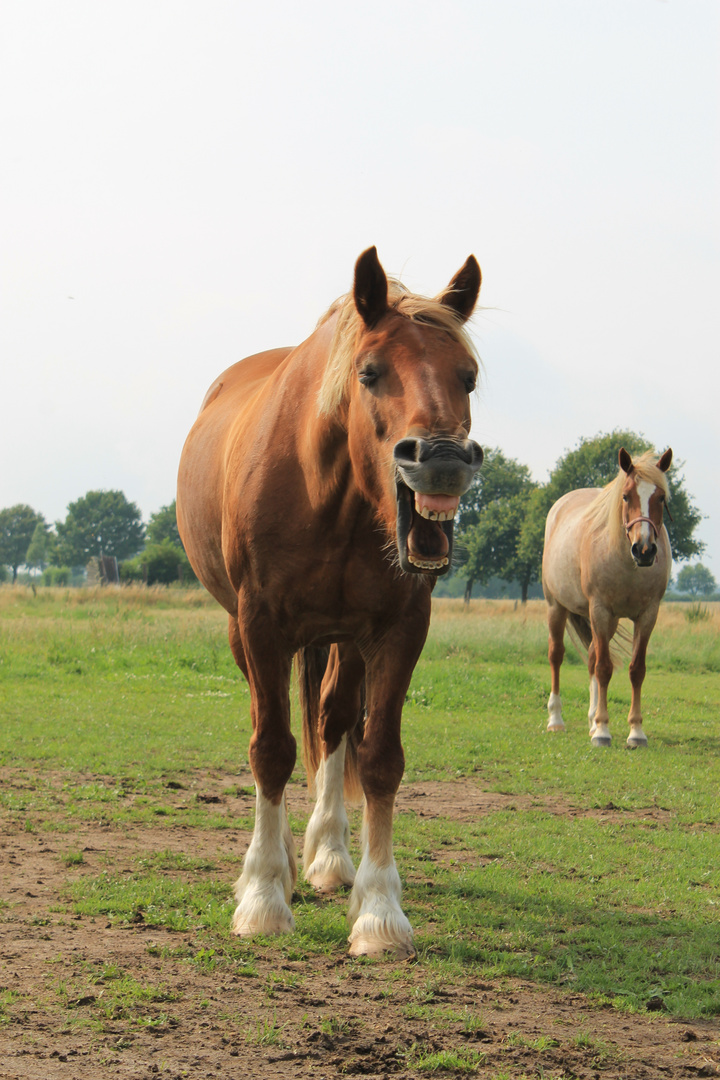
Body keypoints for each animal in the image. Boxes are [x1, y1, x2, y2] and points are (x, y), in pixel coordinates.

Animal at [175, 247, 483, 954]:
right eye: (370, 373)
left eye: (469, 378)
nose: (442, 459)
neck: (330, 493)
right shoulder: (261, 625)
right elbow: (271, 749)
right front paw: (263, 896)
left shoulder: (398, 629)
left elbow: (379, 759)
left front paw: (379, 911)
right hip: (246, 632)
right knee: (277, 727)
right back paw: (282, 862)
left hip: (344, 640)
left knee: (333, 720)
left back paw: (329, 856)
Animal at [544, 444, 673, 743]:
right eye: (626, 496)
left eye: (661, 498)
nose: (644, 550)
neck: (627, 564)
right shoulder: (600, 611)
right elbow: (604, 668)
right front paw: (603, 731)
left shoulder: (647, 616)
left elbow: (636, 670)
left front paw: (636, 732)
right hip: (557, 607)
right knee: (557, 655)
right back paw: (556, 719)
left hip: (607, 621)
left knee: (592, 656)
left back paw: (591, 719)